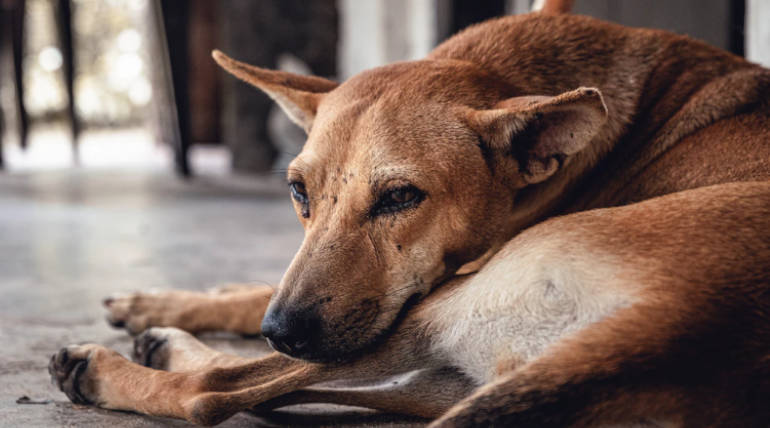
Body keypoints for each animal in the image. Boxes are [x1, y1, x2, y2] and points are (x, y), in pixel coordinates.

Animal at [49, 1, 768, 426]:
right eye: (298, 191)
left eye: (400, 198)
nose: (281, 330)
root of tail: (669, 331)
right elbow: (253, 291)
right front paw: (168, 299)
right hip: (449, 373)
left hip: (435, 309)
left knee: (217, 392)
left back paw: (109, 369)